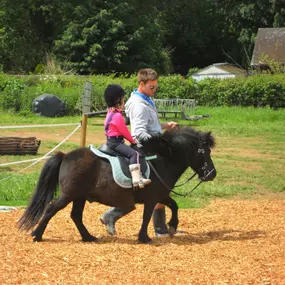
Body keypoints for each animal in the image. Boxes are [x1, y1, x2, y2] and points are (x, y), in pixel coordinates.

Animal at [17, 126, 215, 242]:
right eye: (205, 152)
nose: (212, 173)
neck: (161, 159)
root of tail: (65, 156)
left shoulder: (160, 195)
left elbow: (174, 205)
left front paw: (173, 226)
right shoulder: (152, 198)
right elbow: (147, 216)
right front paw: (144, 237)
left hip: (80, 196)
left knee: (76, 216)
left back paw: (88, 237)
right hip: (69, 194)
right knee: (51, 209)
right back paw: (37, 235)